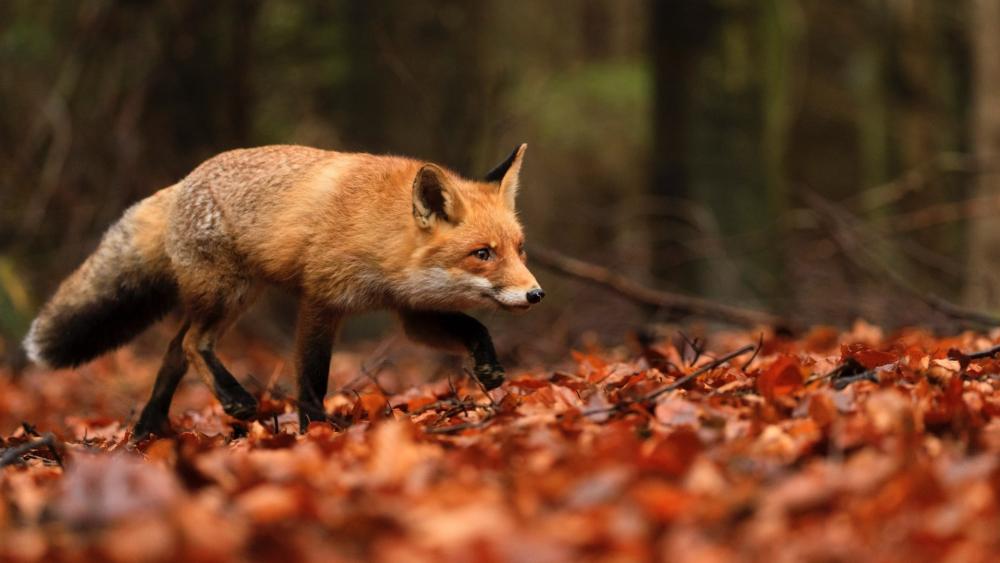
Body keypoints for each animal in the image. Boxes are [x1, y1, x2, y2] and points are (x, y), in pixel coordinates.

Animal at [23, 144, 544, 440]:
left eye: (519, 250)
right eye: (482, 253)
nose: (536, 294)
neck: (380, 232)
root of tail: (182, 182)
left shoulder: (410, 310)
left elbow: (472, 326)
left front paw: (488, 366)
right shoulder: (321, 299)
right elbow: (311, 377)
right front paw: (316, 431)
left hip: (229, 296)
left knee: (172, 349)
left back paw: (149, 430)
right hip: (229, 293)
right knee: (191, 343)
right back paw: (233, 400)